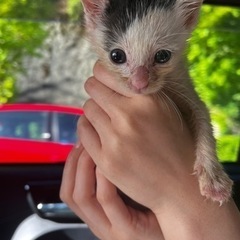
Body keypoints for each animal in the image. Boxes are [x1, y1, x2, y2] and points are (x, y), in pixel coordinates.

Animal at [80, 0, 232, 204]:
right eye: (116, 56)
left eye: (162, 56)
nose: (139, 83)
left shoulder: (185, 88)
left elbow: (203, 117)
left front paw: (213, 179)